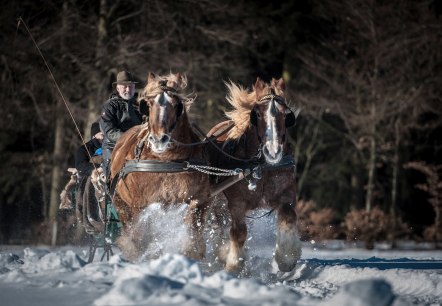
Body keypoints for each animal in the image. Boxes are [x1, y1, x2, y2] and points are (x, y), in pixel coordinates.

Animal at [108, 73, 209, 262]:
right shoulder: (140, 206)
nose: (158, 140)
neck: (166, 161)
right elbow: (139, 238)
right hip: (120, 203)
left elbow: (193, 234)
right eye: (148, 104)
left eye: (176, 105)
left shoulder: (198, 199)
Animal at [207, 77, 300, 272]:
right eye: (256, 114)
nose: (273, 151)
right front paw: (234, 264)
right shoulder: (236, 203)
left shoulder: (287, 193)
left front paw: (286, 258)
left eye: (286, 115)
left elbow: (288, 217)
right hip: (217, 203)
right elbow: (239, 232)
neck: (260, 166)